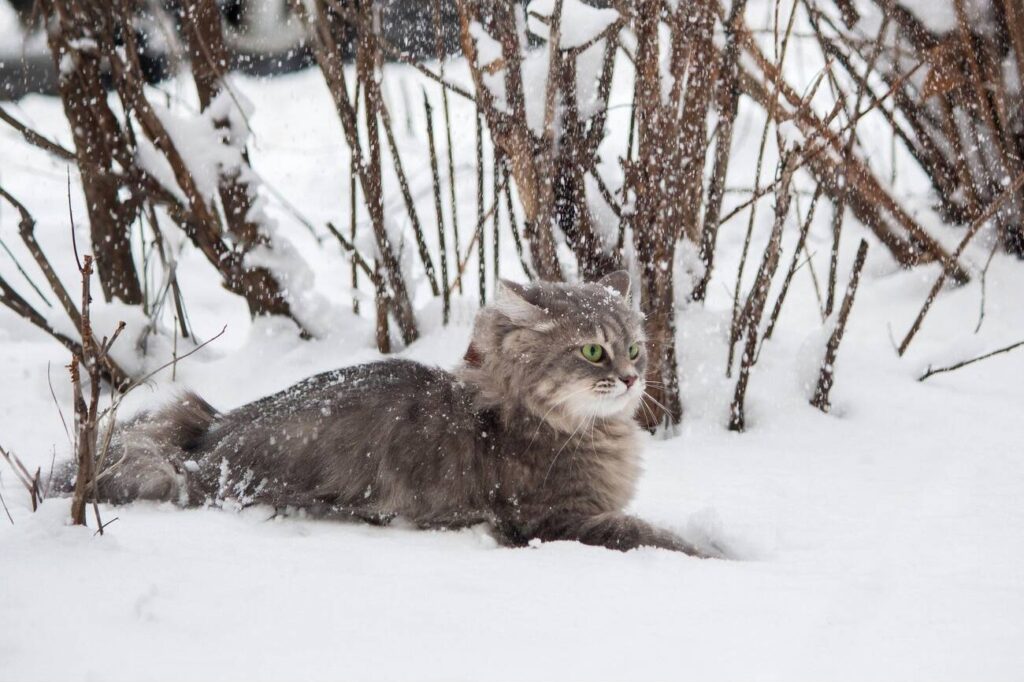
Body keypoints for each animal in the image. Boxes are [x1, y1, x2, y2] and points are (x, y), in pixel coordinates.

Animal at [74, 268, 712, 557]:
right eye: (593, 352)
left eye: (635, 349)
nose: (632, 378)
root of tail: (205, 439)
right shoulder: (552, 520)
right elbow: (653, 535)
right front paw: (717, 556)